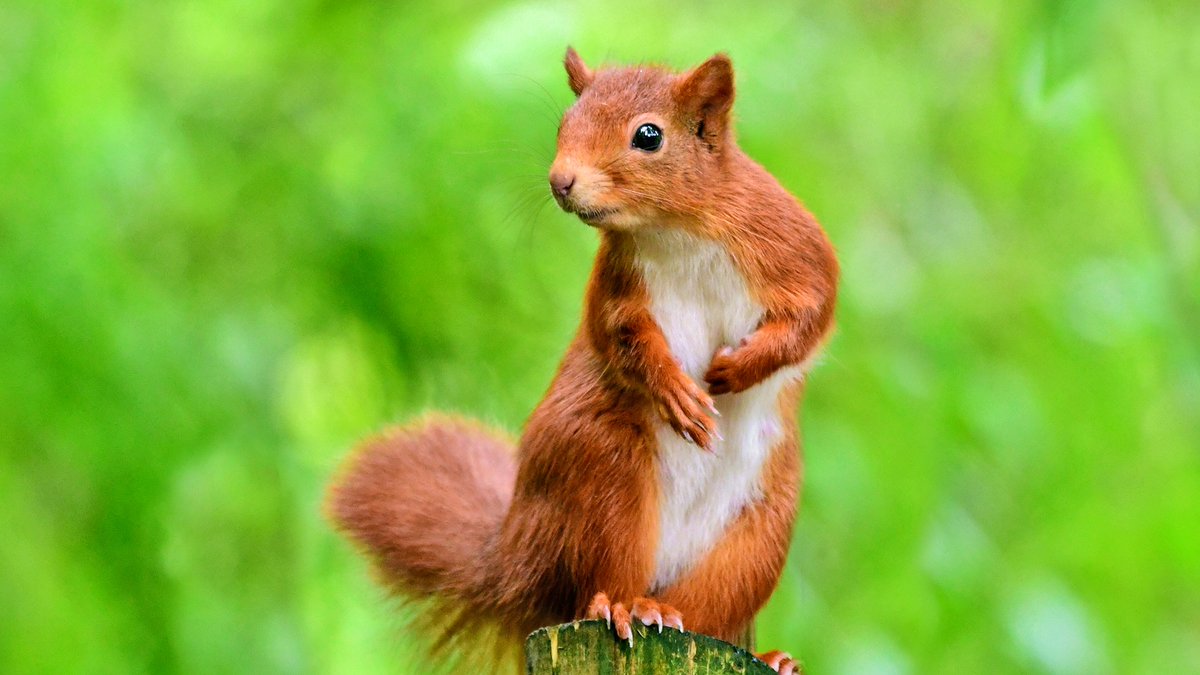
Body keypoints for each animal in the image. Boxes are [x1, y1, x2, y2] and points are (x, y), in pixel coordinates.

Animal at [327, 48, 838, 675]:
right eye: (563, 125)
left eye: (649, 135)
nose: (560, 181)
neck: (675, 229)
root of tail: (516, 552)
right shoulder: (617, 285)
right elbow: (619, 336)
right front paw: (674, 389)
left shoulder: (788, 243)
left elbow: (810, 316)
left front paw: (736, 370)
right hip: (602, 473)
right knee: (594, 581)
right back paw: (620, 607)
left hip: (760, 529)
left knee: (707, 607)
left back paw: (751, 647)